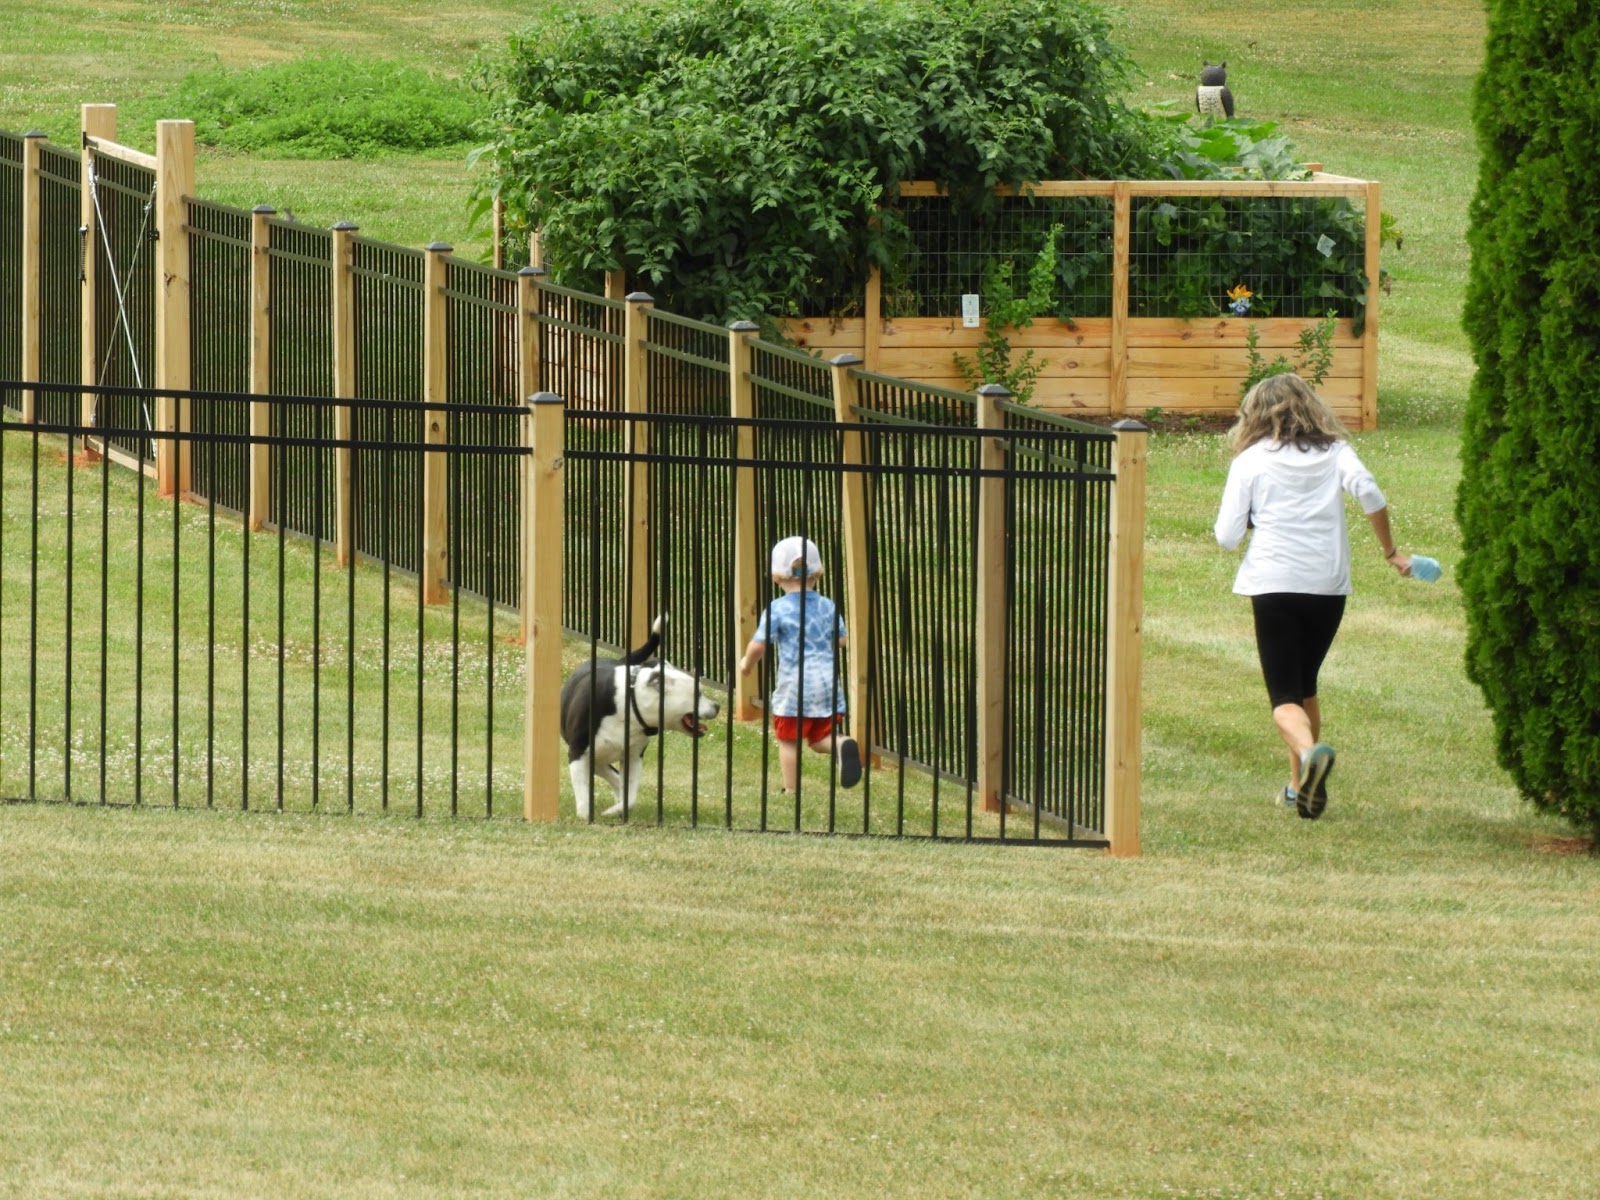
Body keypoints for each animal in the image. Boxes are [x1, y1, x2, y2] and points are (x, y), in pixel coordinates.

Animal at [560, 614, 716, 825]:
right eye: (698, 693)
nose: (717, 706)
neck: (630, 702)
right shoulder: (578, 753)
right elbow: (583, 794)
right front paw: (587, 816)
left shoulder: (633, 757)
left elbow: (630, 796)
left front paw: (615, 811)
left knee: (616, 779)